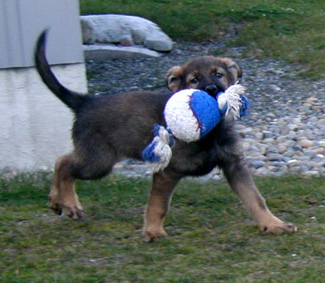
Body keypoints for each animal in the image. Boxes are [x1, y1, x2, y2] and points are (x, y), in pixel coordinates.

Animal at [34, 31, 294, 244]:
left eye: (218, 74)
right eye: (194, 79)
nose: (211, 90)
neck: (210, 132)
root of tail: (85, 101)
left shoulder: (234, 165)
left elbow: (255, 199)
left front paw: (273, 224)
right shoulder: (167, 172)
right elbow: (158, 205)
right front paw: (153, 231)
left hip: (95, 158)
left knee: (62, 160)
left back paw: (56, 200)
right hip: (99, 161)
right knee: (65, 164)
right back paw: (69, 203)